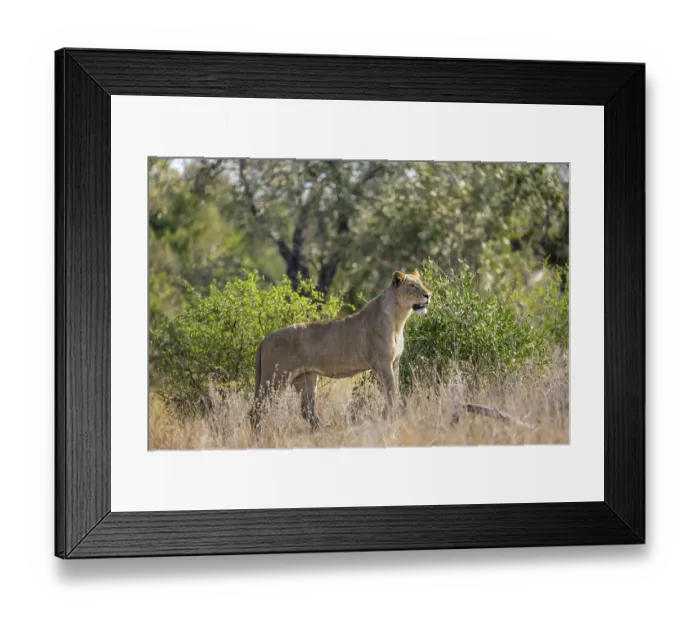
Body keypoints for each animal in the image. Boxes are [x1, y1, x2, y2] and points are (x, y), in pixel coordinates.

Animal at [249, 269, 432, 430]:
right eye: (413, 286)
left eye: (422, 283)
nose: (428, 295)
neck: (398, 319)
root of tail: (264, 339)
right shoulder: (383, 363)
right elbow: (391, 394)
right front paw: (390, 419)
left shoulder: (395, 362)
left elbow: (394, 391)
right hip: (274, 379)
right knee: (256, 411)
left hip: (305, 379)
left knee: (307, 411)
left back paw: (321, 432)